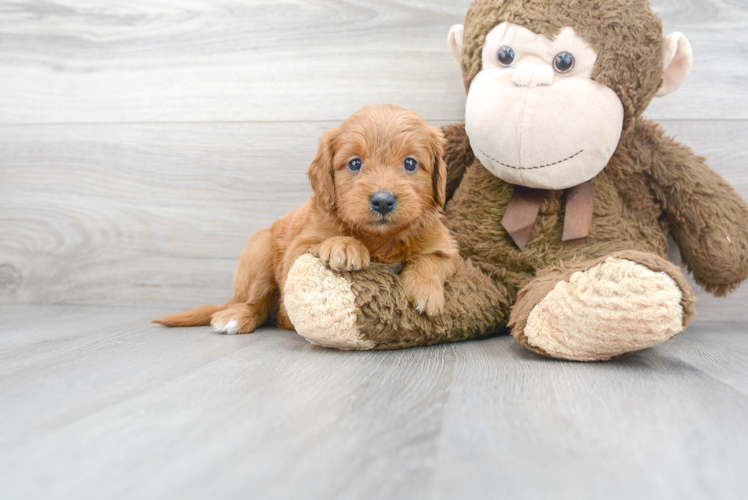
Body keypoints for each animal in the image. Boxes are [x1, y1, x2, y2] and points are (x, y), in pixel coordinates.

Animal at [153, 104, 456, 334]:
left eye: (410, 163)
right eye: (355, 163)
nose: (382, 201)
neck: (381, 239)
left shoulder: (448, 248)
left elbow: (432, 260)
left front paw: (425, 291)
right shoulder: (296, 251)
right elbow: (319, 243)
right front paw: (344, 245)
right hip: (260, 248)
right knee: (256, 304)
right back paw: (237, 317)